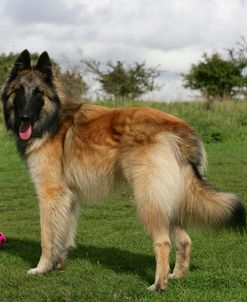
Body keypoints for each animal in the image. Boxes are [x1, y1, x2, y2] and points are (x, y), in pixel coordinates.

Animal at [0, 50, 246, 292]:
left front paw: (42, 268)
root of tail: (179, 129)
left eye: (38, 92)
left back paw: (159, 284)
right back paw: (176, 275)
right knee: (184, 240)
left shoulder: (50, 193)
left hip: (148, 198)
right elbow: (64, 232)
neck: (52, 120)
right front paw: (58, 263)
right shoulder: (69, 197)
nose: (25, 118)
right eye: (19, 91)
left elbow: (47, 235)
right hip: (168, 198)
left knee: (163, 241)